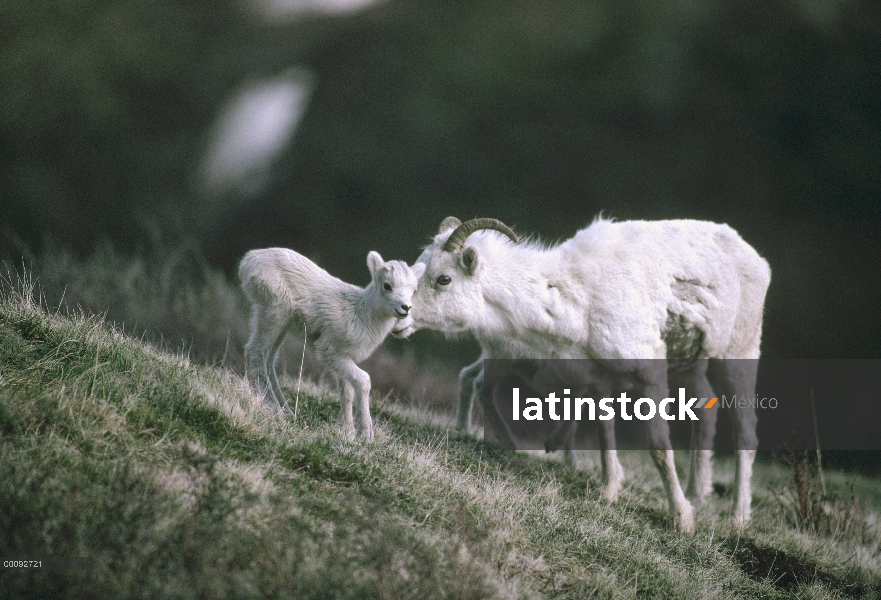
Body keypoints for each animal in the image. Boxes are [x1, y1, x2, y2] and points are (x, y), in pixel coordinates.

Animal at [237, 248, 422, 440]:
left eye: (414, 290)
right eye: (387, 285)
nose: (405, 308)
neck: (361, 315)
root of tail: (249, 260)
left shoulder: (343, 358)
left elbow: (346, 393)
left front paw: (348, 432)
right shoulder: (330, 352)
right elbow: (363, 381)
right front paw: (366, 435)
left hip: (281, 323)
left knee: (269, 360)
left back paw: (286, 411)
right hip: (273, 311)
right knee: (255, 353)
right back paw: (274, 408)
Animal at [398, 214, 768, 528]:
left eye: (444, 278)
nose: (401, 316)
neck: (576, 299)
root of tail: (757, 260)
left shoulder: (649, 373)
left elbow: (660, 446)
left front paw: (681, 520)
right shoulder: (598, 380)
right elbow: (605, 434)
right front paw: (609, 491)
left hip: (739, 353)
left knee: (746, 433)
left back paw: (737, 519)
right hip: (689, 365)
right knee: (707, 407)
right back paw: (698, 492)